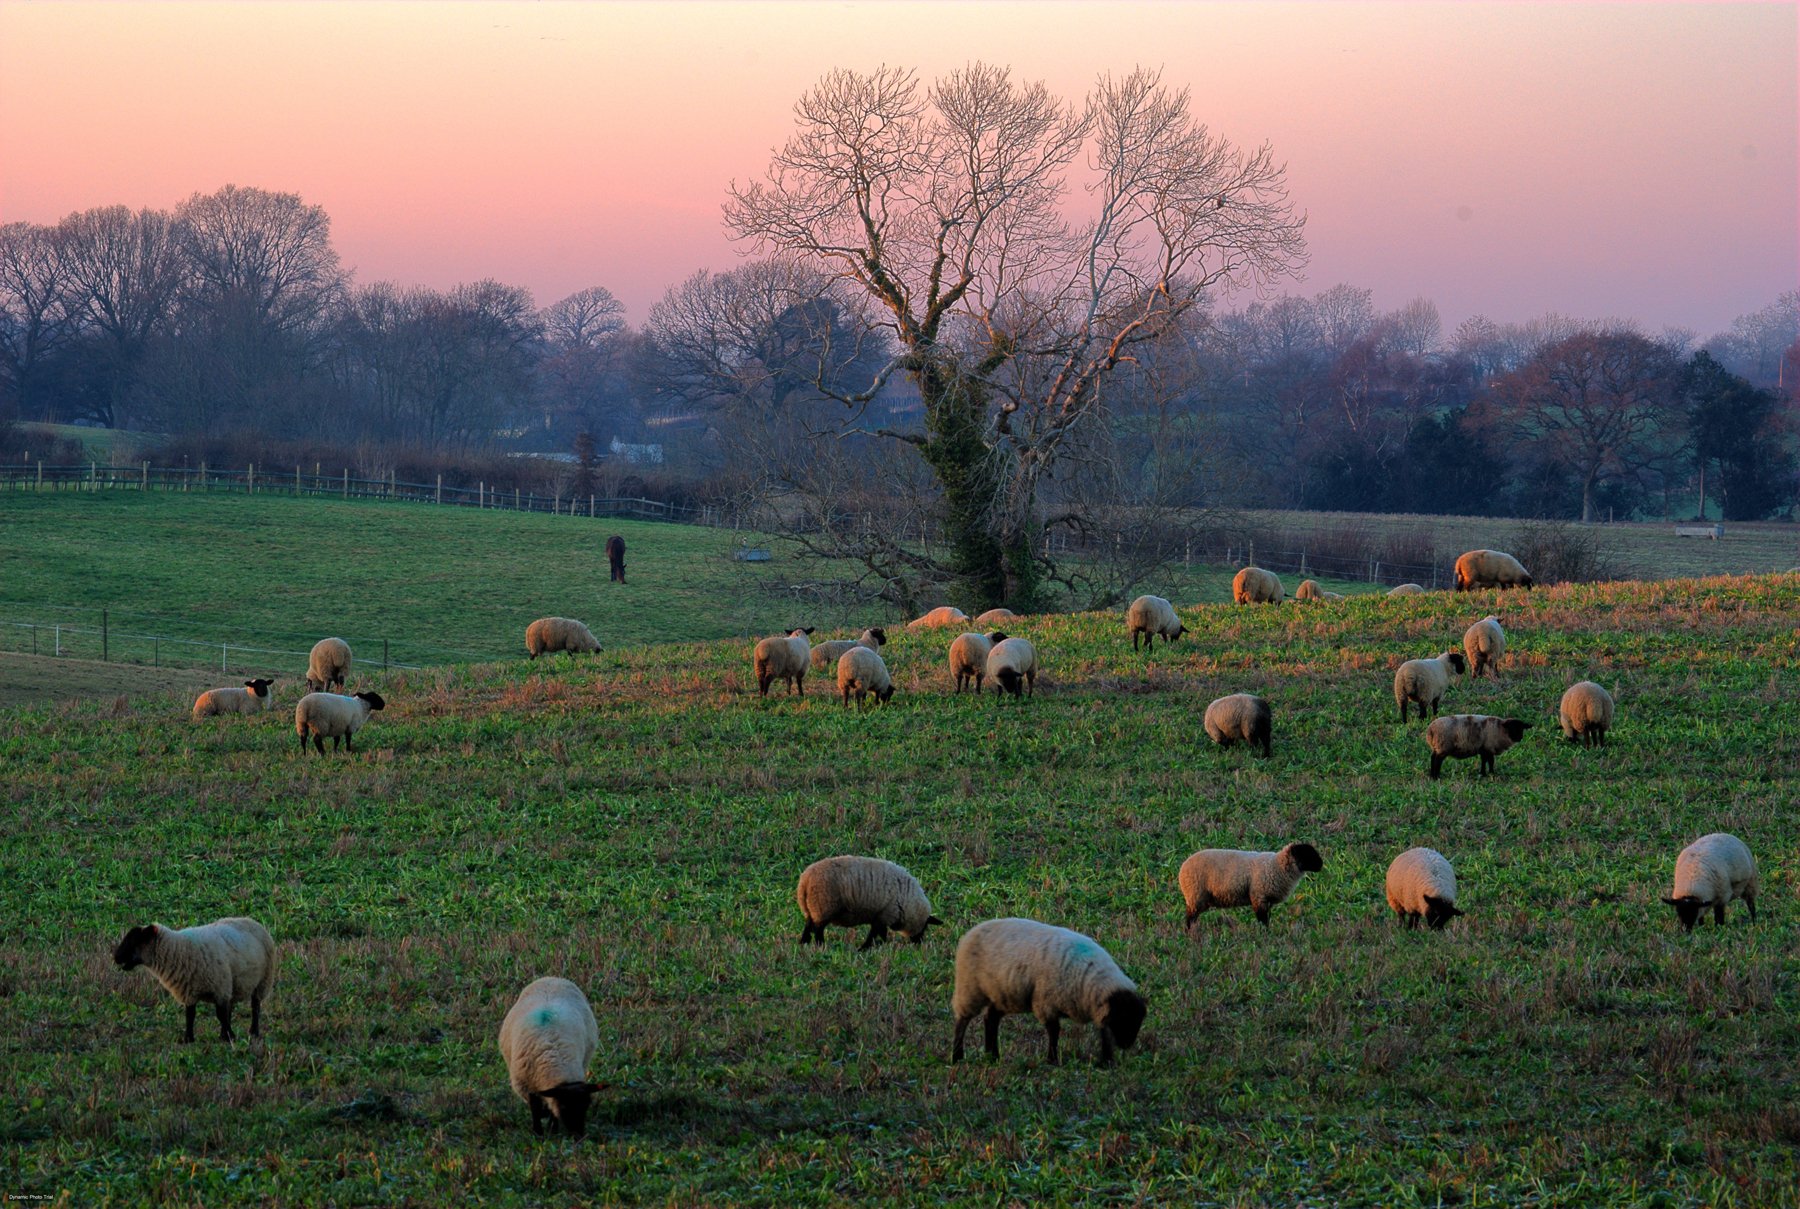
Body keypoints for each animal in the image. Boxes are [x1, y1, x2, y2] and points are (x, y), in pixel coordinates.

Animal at [111, 917, 275, 1042]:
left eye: (135, 941)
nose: (116, 957)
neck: (179, 950)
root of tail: (253, 921)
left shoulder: (219, 987)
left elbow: (220, 1015)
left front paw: (232, 1036)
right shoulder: (188, 991)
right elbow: (190, 1016)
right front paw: (188, 1039)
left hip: (262, 981)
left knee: (255, 1007)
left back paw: (253, 1032)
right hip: (233, 983)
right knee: (230, 1008)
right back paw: (223, 1035)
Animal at [497, 976, 602, 1138]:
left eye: (586, 1106)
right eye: (564, 1106)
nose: (578, 1136)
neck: (554, 1057)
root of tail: (553, 978)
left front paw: (553, 1129)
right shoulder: (526, 1082)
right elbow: (535, 1107)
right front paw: (538, 1132)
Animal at [795, 856, 941, 949]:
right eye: (925, 927)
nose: (919, 944)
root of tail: (805, 881)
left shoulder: (882, 916)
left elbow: (881, 934)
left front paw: (880, 946)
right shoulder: (885, 914)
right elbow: (874, 934)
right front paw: (864, 948)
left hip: (810, 909)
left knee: (808, 926)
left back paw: (803, 944)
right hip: (822, 907)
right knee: (818, 930)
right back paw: (821, 946)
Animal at [950, 918, 1146, 1067]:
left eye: (1138, 1020)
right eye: (1124, 1016)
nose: (1127, 1044)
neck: (1090, 975)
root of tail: (971, 931)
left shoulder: (1098, 1008)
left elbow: (1104, 1031)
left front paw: (1107, 1060)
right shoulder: (1045, 1001)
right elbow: (1054, 1030)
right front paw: (1052, 1060)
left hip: (1002, 993)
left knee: (990, 1019)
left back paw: (993, 1057)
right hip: (970, 988)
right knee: (962, 1021)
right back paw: (957, 1057)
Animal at [1178, 842, 1323, 927]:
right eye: (1307, 854)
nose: (1321, 865)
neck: (1277, 865)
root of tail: (1183, 867)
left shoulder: (1267, 900)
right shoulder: (1259, 896)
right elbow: (1262, 919)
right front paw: (1265, 934)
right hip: (1196, 895)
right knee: (1190, 917)